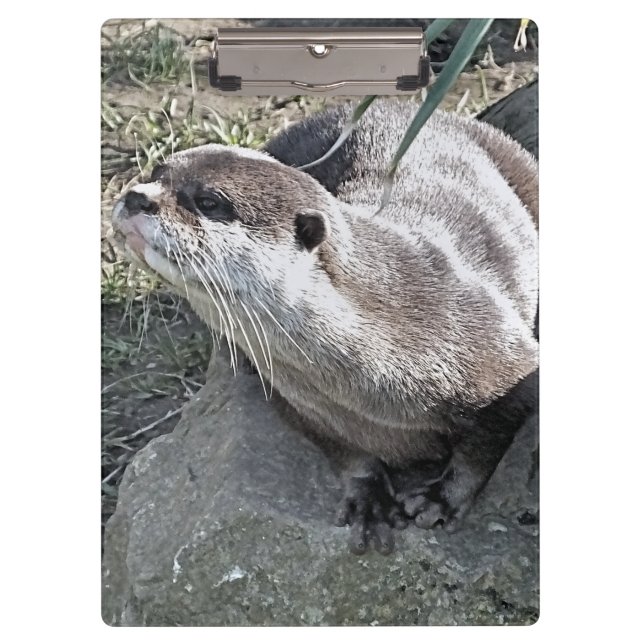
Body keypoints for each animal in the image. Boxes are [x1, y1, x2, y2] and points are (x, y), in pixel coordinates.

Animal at [111, 100, 538, 555]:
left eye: (208, 201)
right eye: (156, 171)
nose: (137, 196)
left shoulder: (501, 354)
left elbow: (487, 442)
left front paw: (441, 498)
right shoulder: (294, 399)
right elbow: (341, 450)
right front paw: (368, 496)